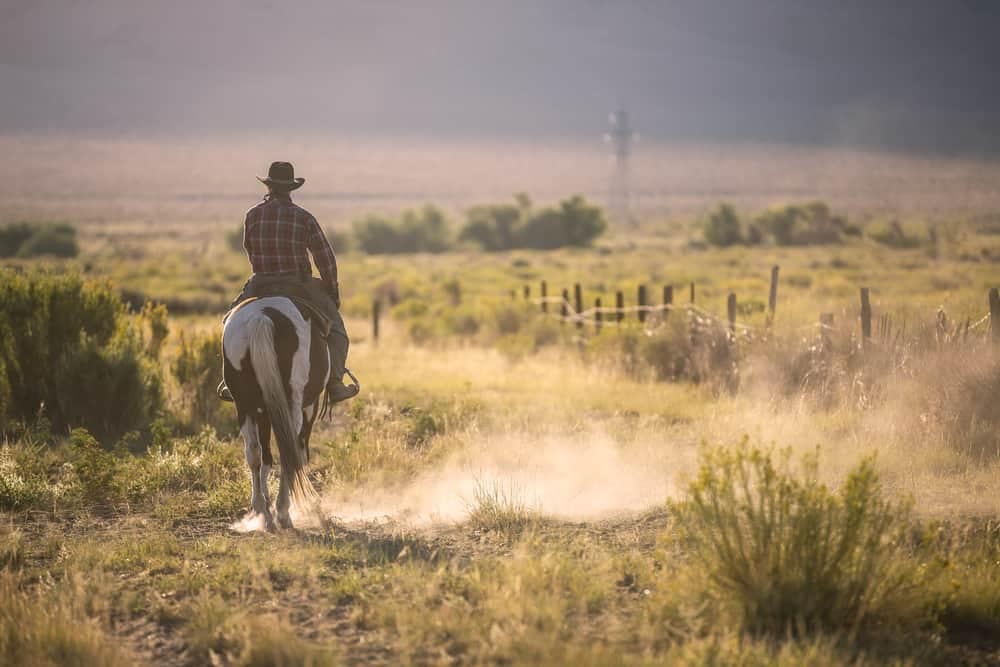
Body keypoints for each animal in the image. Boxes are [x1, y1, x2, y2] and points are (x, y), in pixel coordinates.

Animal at [221, 296, 333, 531]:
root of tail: (262, 316)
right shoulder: (309, 408)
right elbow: (298, 452)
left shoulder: (263, 410)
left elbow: (265, 457)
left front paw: (265, 502)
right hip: (293, 403)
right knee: (288, 449)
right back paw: (282, 511)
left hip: (244, 403)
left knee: (254, 451)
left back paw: (262, 511)